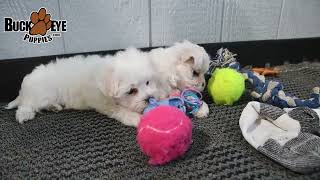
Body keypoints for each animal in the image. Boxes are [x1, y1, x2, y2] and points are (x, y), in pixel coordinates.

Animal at [5, 47, 159, 126]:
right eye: (131, 91)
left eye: (148, 82)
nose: (149, 98)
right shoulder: (102, 102)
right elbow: (118, 109)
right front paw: (136, 118)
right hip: (41, 94)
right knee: (27, 105)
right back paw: (24, 114)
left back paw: (54, 107)